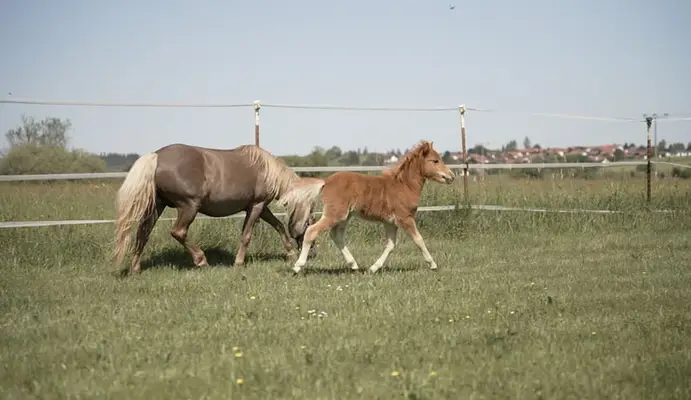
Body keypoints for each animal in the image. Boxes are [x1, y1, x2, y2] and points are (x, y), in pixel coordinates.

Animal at [113, 143, 311, 275]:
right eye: (309, 222)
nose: (311, 250)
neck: (266, 170)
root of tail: (156, 156)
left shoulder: (261, 208)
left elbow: (278, 225)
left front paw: (290, 253)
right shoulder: (257, 206)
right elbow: (247, 235)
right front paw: (238, 263)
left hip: (157, 205)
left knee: (143, 233)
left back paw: (135, 269)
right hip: (189, 206)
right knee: (178, 232)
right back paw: (202, 261)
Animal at [277, 140, 455, 274]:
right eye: (435, 160)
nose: (451, 176)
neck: (404, 186)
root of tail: (326, 182)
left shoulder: (390, 222)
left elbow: (390, 245)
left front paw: (373, 268)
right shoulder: (405, 218)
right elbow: (419, 240)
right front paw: (433, 264)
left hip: (345, 216)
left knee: (336, 235)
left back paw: (354, 265)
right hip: (335, 214)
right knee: (312, 231)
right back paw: (297, 267)